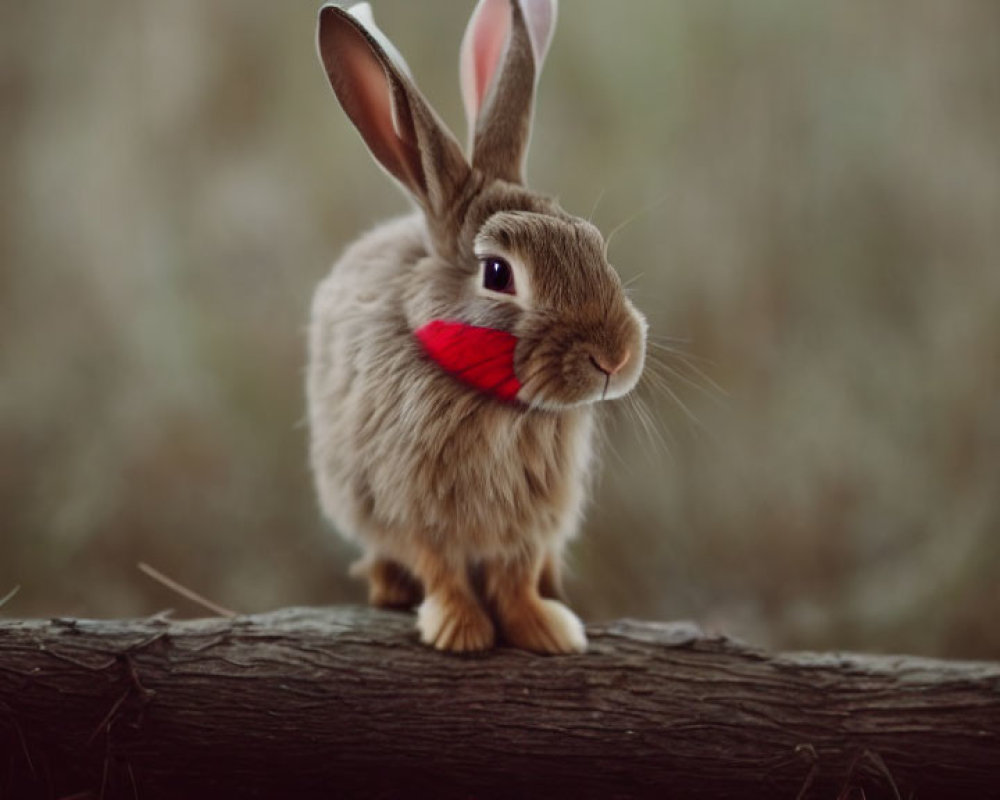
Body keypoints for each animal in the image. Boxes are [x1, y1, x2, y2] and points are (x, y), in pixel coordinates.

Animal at [306, 0, 648, 652]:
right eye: (497, 273)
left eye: (593, 244)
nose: (614, 358)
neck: (494, 397)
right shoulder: (408, 505)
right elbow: (439, 566)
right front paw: (460, 630)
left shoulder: (531, 519)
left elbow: (516, 575)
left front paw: (545, 630)